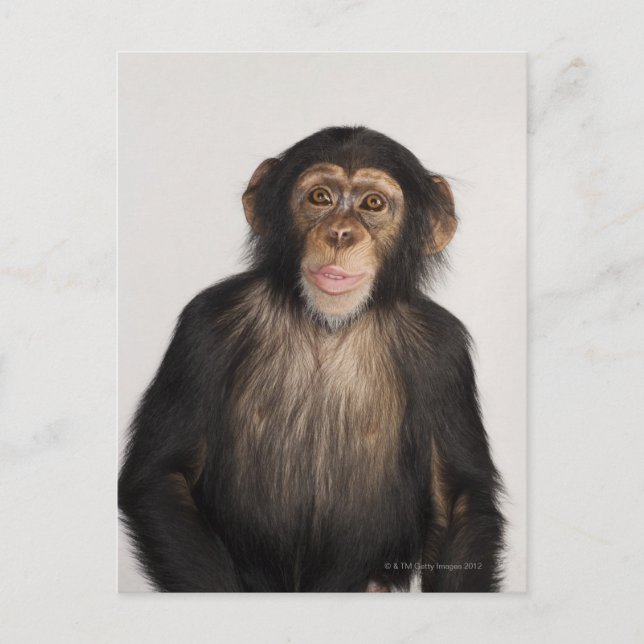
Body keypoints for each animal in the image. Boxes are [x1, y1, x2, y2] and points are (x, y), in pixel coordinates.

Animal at [118, 126, 505, 592]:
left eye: (372, 204)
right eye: (320, 197)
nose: (340, 233)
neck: (328, 325)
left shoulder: (443, 353)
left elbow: (456, 501)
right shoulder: (206, 325)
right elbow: (162, 477)